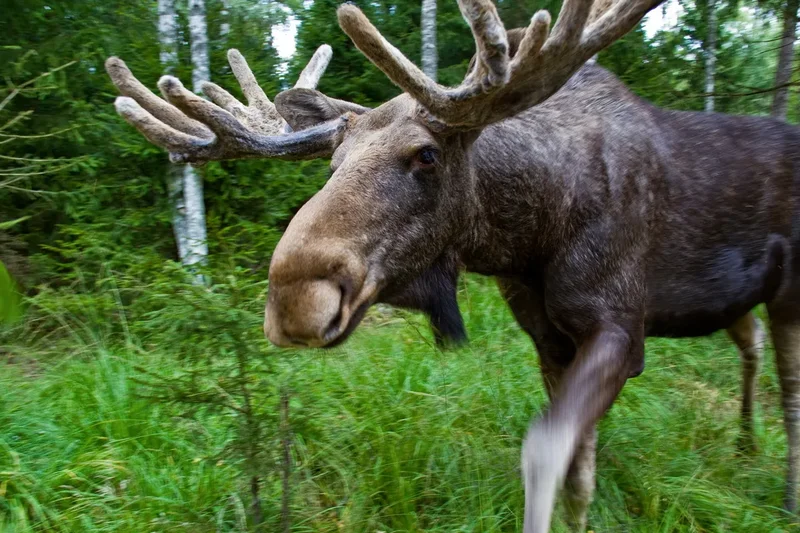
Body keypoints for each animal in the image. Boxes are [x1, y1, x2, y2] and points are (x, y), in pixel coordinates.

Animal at [105, 0, 800, 530]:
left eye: (427, 155)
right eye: (333, 163)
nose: (295, 299)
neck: (530, 233)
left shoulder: (620, 326)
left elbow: (545, 450)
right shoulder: (548, 336)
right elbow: (579, 467)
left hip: (790, 294)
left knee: (788, 388)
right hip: (736, 301)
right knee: (751, 347)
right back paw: (745, 443)